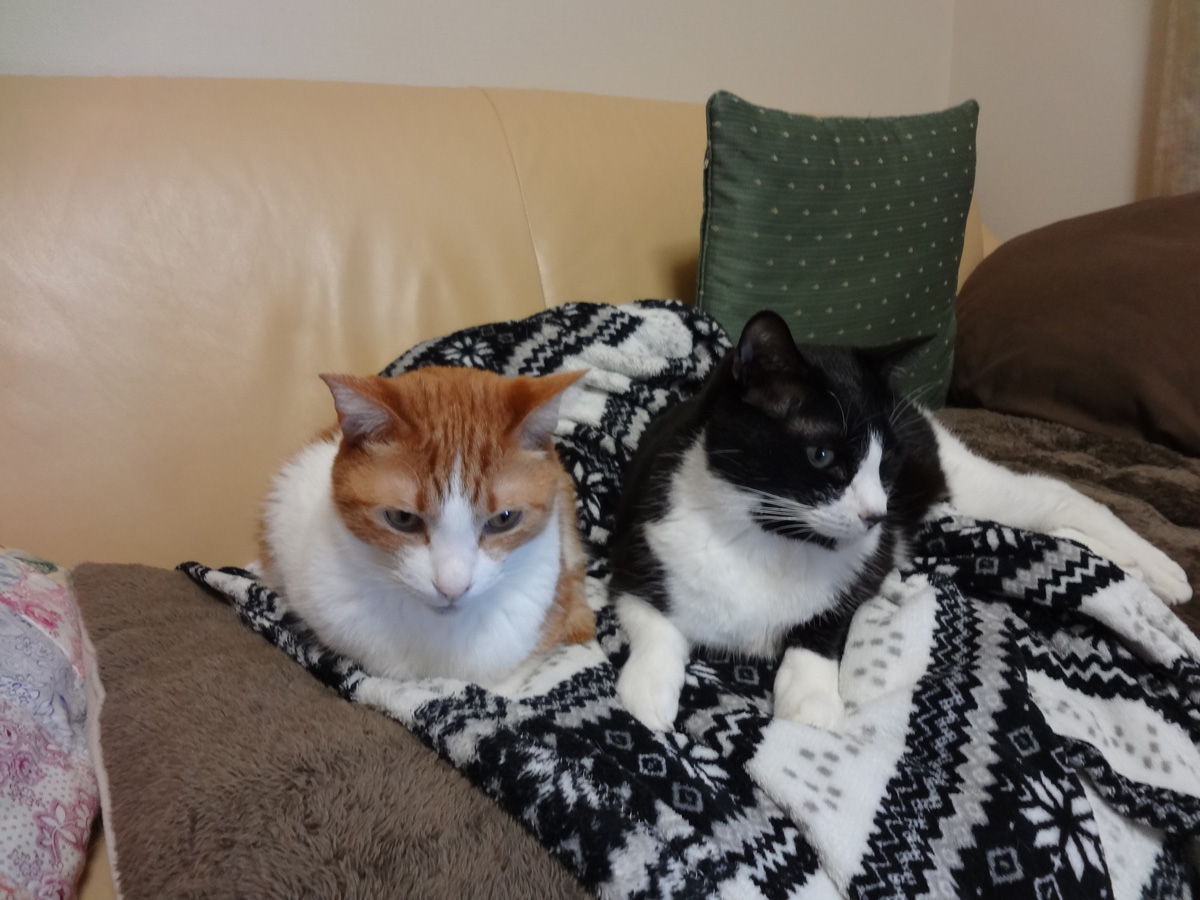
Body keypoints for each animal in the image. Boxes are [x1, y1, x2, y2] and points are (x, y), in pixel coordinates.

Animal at [611, 309, 1191, 732]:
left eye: (885, 461)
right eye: (823, 456)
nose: (875, 517)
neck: (764, 534)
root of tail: (917, 408)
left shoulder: (854, 576)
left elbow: (824, 627)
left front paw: (810, 699)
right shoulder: (638, 542)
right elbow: (652, 620)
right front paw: (647, 692)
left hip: (955, 476)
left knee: (1058, 495)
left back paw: (1164, 572)